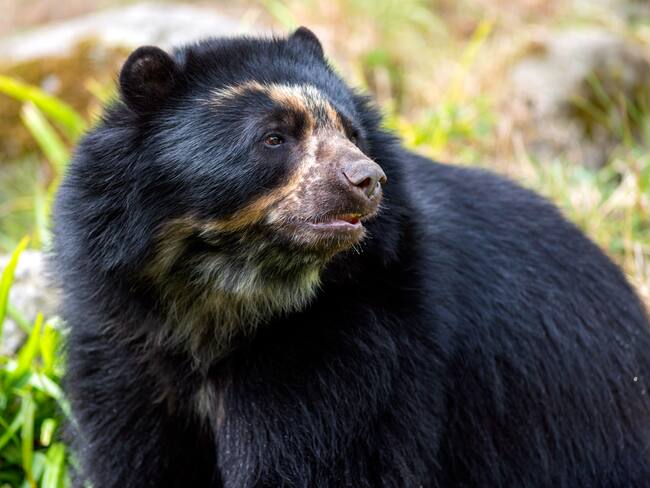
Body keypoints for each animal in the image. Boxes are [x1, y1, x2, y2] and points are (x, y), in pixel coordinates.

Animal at [52, 27, 650, 487]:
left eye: (353, 132)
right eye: (273, 138)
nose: (367, 179)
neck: (219, 297)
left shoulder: (345, 343)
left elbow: (320, 458)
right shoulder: (125, 343)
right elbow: (132, 456)